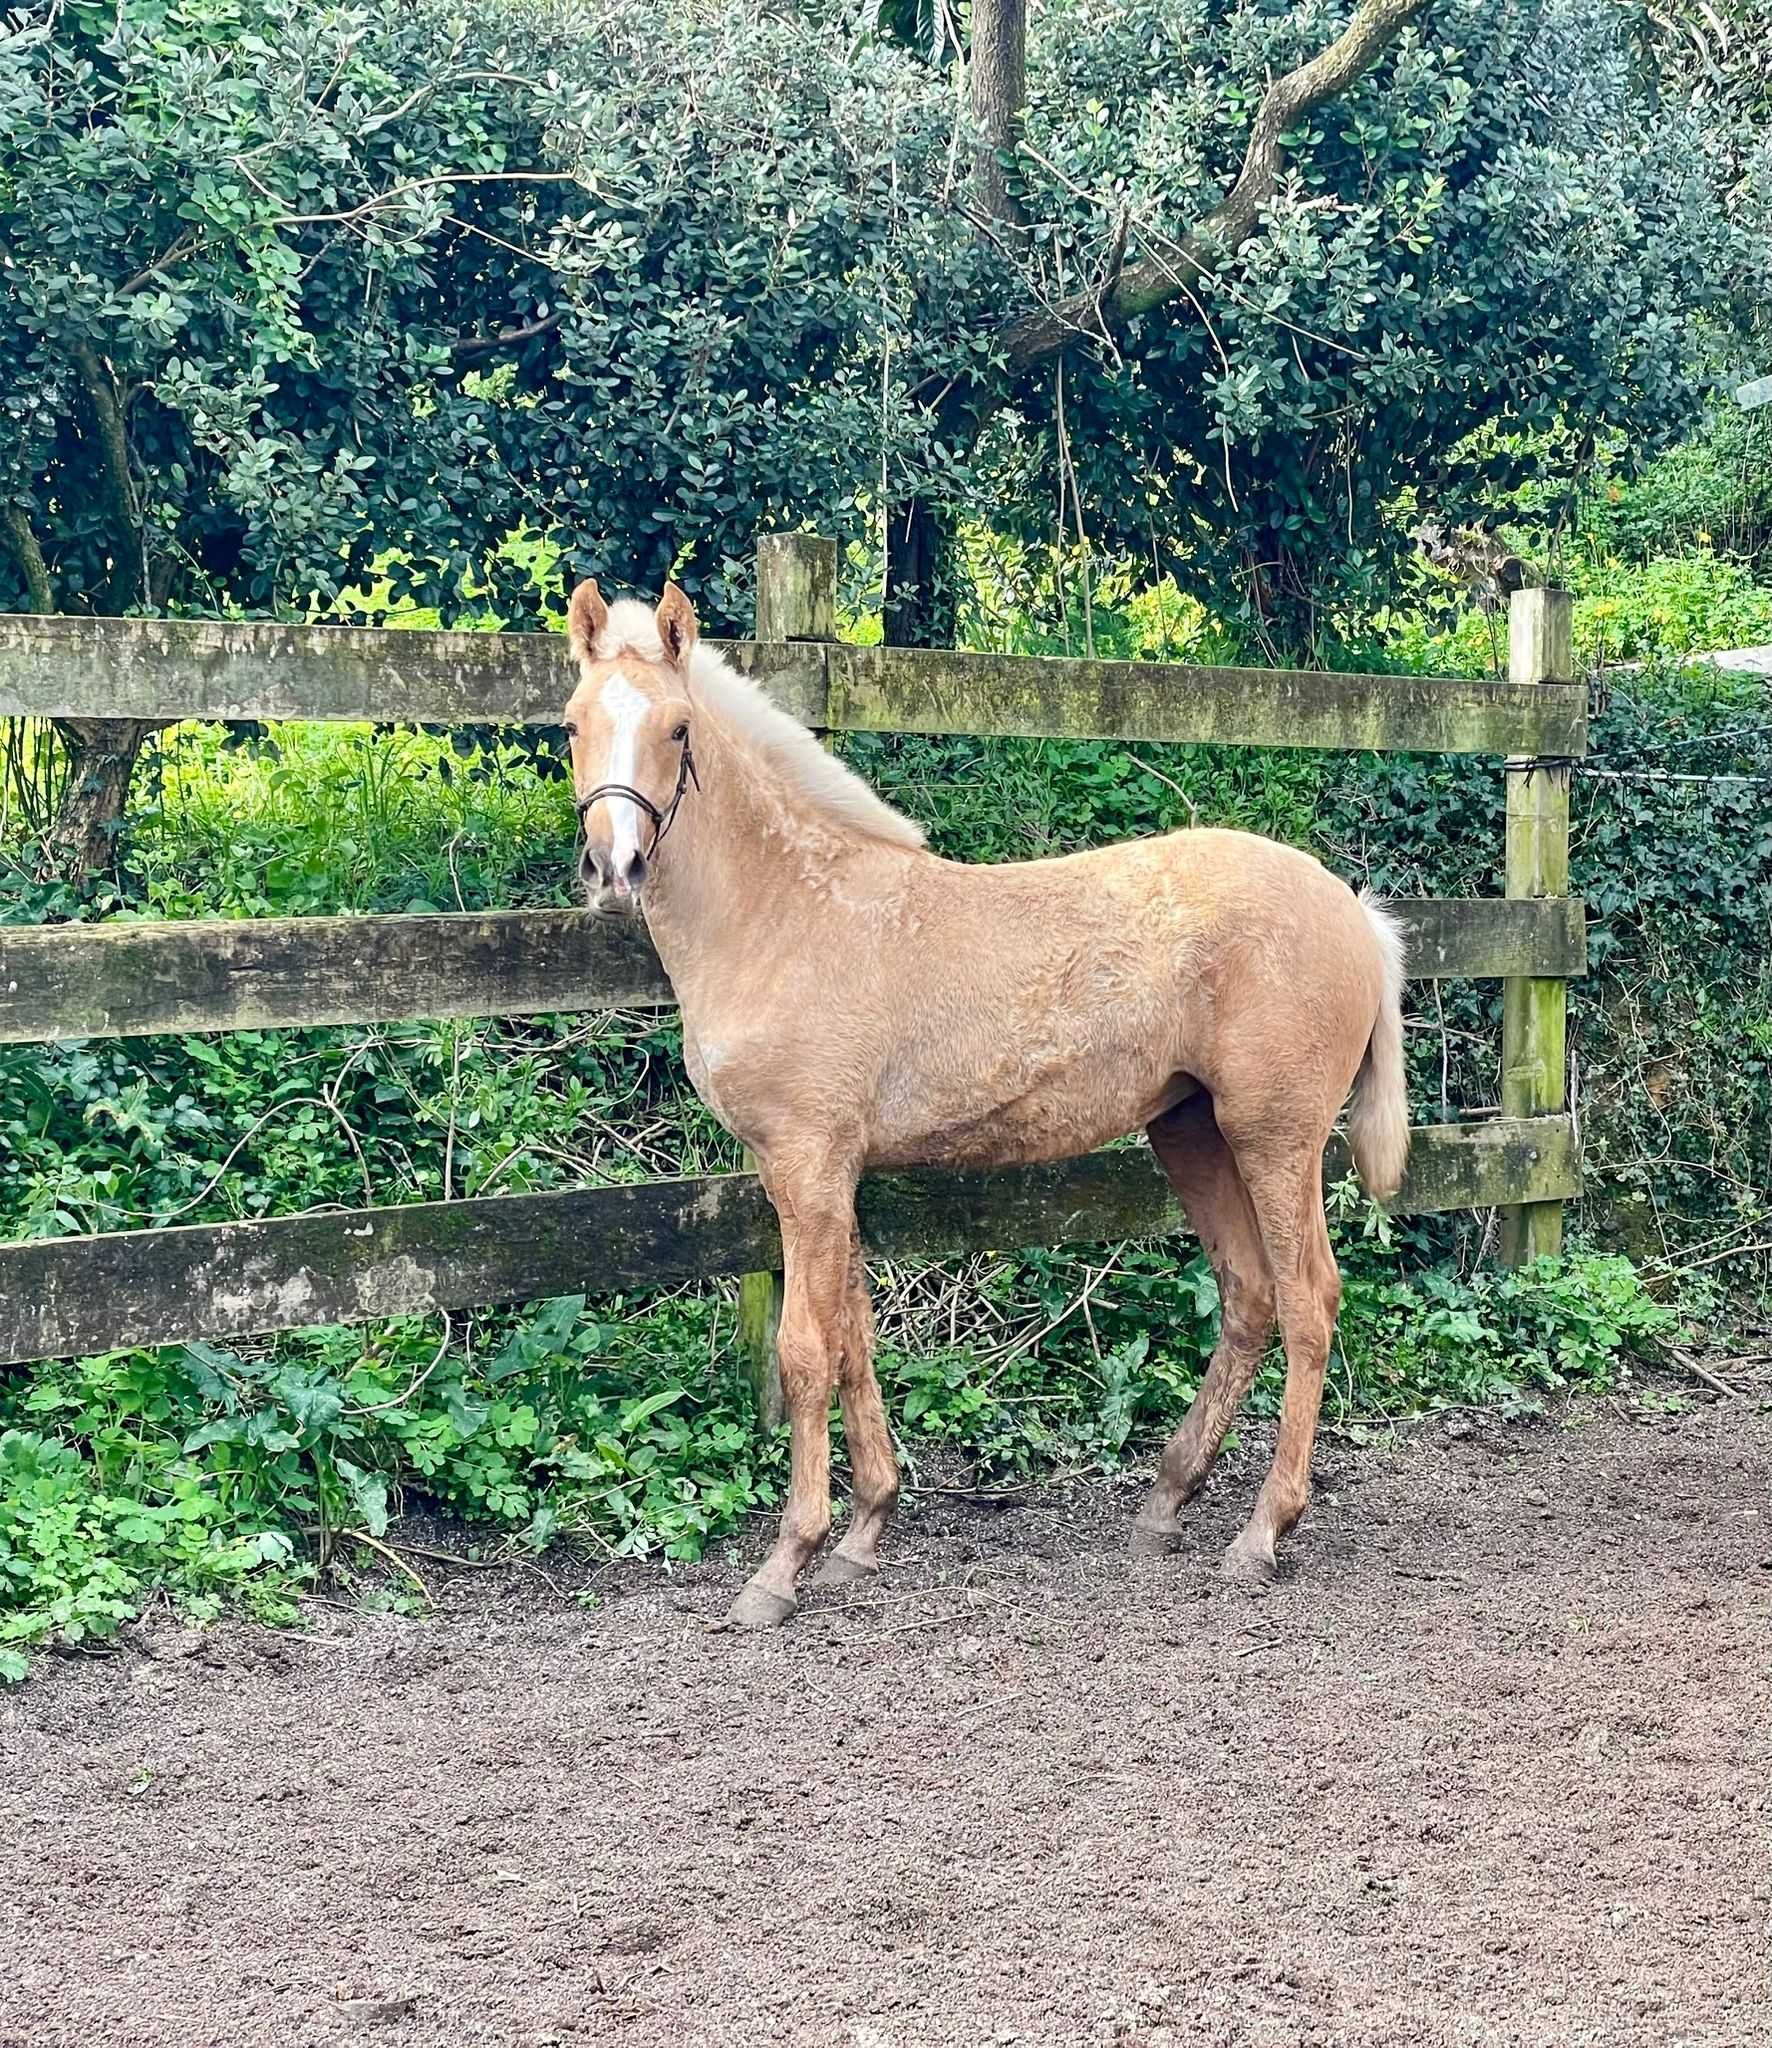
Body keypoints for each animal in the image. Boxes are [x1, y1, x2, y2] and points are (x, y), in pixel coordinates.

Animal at [565, 581, 1409, 1630]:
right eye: (573, 724)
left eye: (678, 729)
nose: (616, 869)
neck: (789, 912)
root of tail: (1353, 909)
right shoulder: (827, 1171)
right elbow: (854, 1339)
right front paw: (863, 1535)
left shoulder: (807, 1162)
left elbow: (806, 1350)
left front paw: (785, 1564)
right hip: (1190, 1131)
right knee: (1250, 1296)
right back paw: (1167, 1501)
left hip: (1276, 1139)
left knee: (1308, 1300)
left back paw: (1262, 1533)